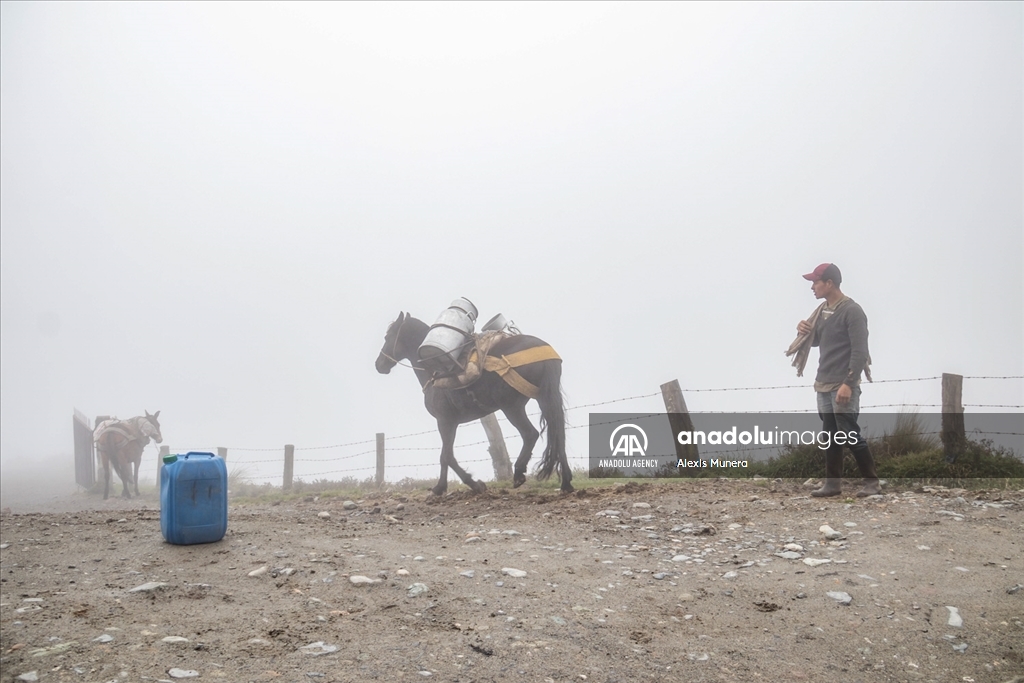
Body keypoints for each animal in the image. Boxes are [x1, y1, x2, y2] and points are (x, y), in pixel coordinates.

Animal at [376, 315, 573, 497]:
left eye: (387, 336)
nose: (379, 364)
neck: (435, 371)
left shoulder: (445, 421)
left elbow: (446, 456)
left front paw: (470, 485)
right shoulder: (450, 422)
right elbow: (445, 455)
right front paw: (443, 487)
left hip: (512, 407)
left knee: (530, 434)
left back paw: (519, 473)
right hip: (545, 399)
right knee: (558, 436)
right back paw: (566, 483)